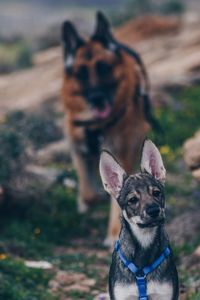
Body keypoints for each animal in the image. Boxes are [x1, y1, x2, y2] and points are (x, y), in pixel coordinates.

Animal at [61, 11, 159, 246]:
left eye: (104, 68)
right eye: (81, 73)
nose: (97, 98)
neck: (97, 125)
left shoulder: (121, 152)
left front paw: (114, 233)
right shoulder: (77, 147)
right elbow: (88, 192)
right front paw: (88, 201)